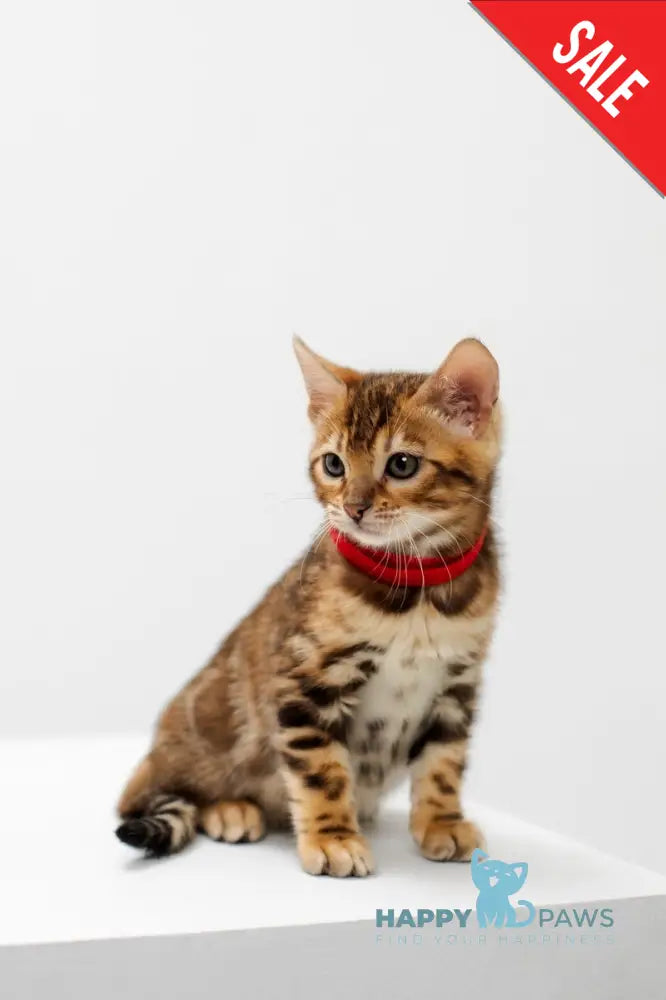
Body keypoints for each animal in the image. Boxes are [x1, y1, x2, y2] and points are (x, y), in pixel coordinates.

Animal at [115, 336, 501, 877]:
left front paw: (442, 822)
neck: (416, 589)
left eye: (402, 464)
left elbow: (444, 763)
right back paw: (230, 810)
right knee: (148, 797)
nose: (354, 508)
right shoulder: (306, 678)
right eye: (334, 464)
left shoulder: (458, 683)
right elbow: (322, 771)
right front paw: (333, 837)